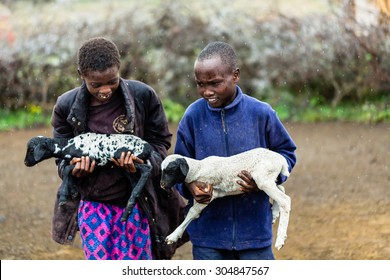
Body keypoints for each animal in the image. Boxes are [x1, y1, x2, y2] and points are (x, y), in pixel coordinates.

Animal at [160, 148, 290, 250]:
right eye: (162, 171)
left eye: (171, 171)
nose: (162, 185)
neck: (198, 168)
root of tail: (281, 160)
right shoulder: (210, 194)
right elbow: (194, 213)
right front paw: (175, 235)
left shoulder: (209, 192)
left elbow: (192, 212)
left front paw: (172, 236)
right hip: (267, 180)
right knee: (282, 188)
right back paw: (274, 214)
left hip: (263, 179)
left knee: (285, 200)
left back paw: (280, 240)